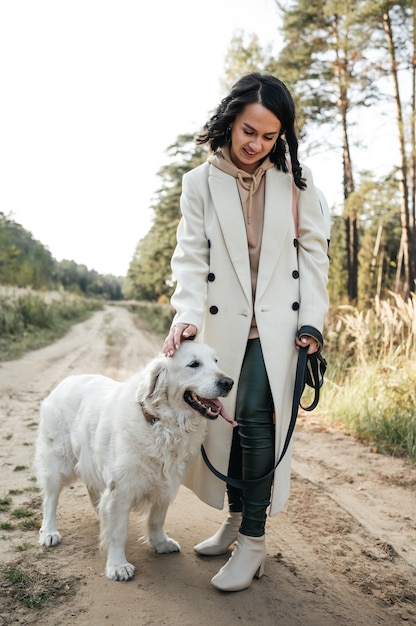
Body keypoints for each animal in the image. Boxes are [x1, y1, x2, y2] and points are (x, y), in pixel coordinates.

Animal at [34, 342, 236, 580]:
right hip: (57, 461)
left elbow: (157, 519)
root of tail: (66, 381)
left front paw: (160, 543)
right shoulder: (121, 489)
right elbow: (118, 532)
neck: (162, 424)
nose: (228, 382)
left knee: (92, 489)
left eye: (216, 361)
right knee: (50, 500)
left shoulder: (166, 483)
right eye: (193, 364)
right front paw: (117, 565)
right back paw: (49, 532)